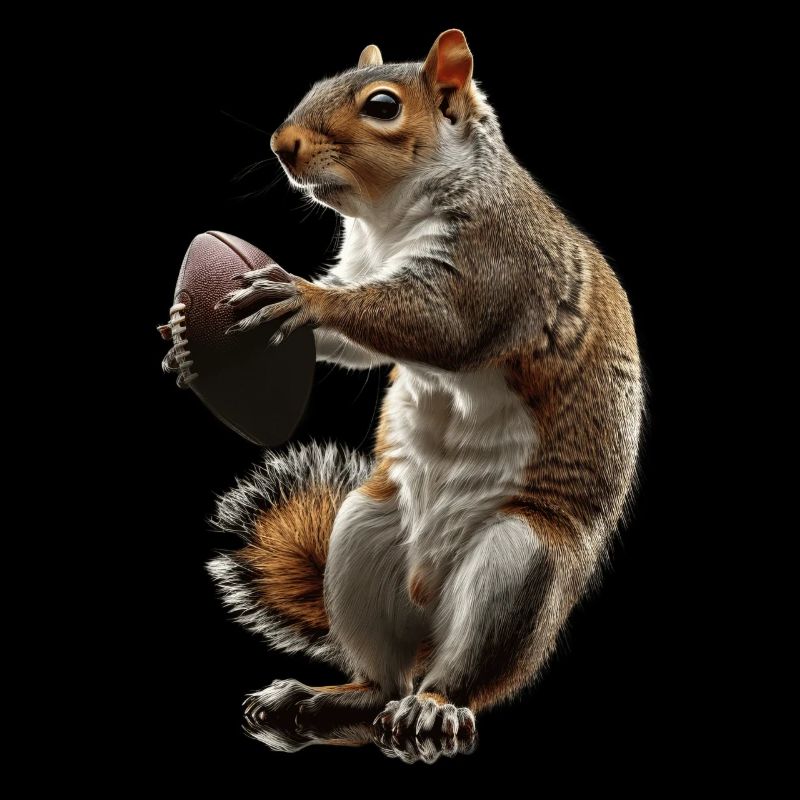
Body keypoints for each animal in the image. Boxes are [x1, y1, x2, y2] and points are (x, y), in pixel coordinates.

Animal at [203, 29, 644, 742]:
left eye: (383, 106)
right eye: (316, 84)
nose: (281, 144)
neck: (386, 220)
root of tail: (429, 610)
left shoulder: (495, 259)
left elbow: (439, 326)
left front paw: (304, 296)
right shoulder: (361, 261)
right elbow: (359, 342)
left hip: (515, 564)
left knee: (462, 676)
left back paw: (432, 707)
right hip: (361, 529)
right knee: (380, 680)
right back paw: (317, 697)